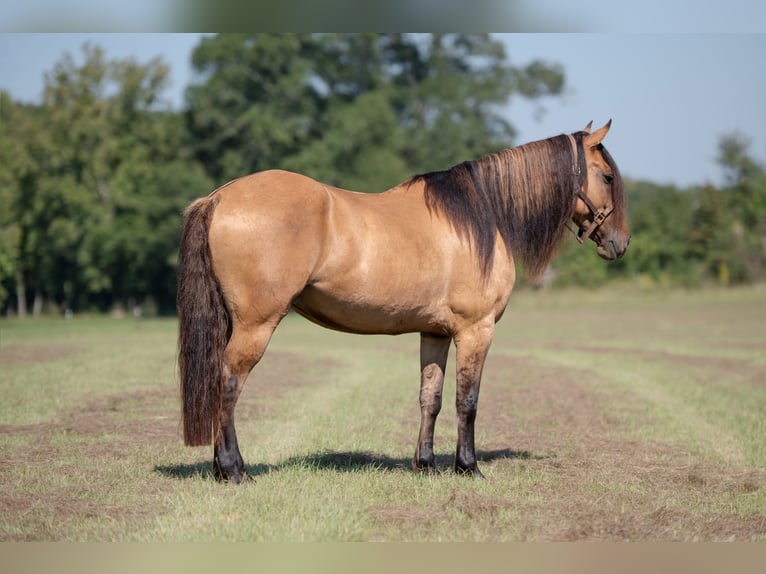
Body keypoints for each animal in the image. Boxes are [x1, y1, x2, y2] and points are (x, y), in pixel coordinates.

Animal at [178, 121, 632, 486]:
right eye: (608, 176)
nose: (620, 243)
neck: (480, 218)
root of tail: (219, 198)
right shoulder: (476, 330)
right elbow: (468, 400)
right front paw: (468, 467)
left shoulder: (434, 333)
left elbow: (430, 397)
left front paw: (426, 465)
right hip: (255, 325)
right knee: (229, 382)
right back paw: (234, 470)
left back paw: (221, 469)